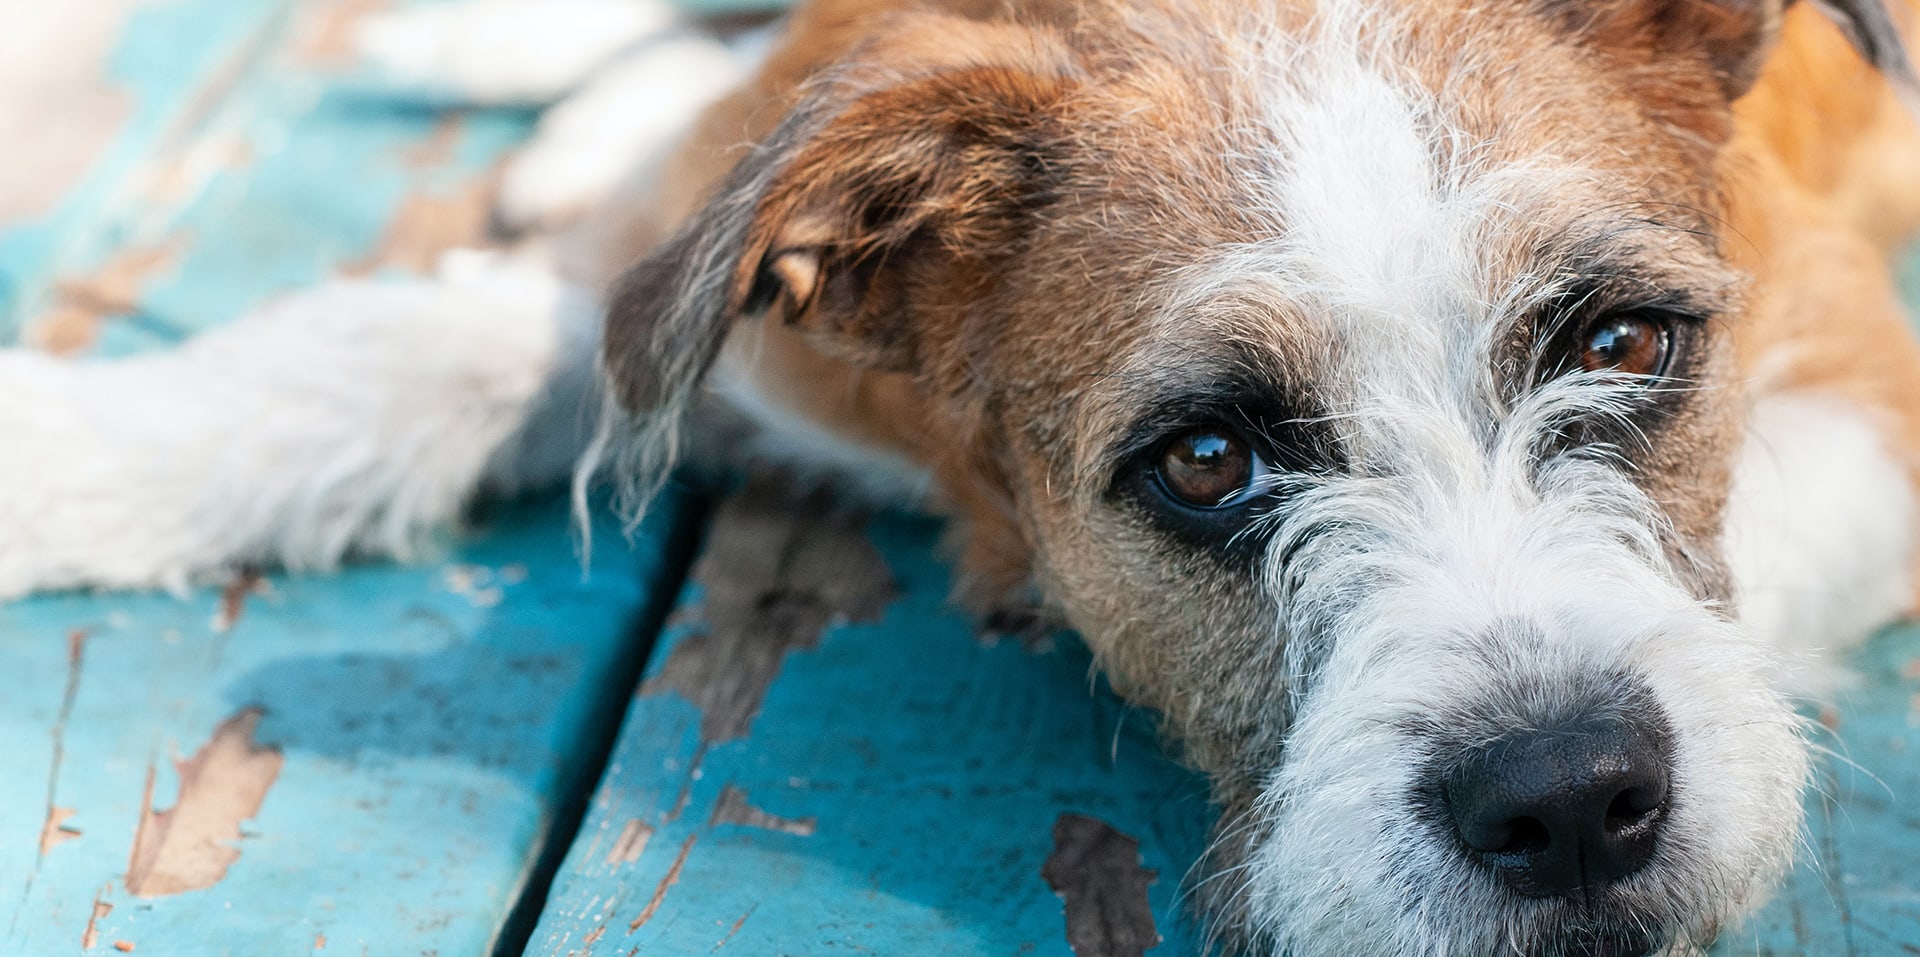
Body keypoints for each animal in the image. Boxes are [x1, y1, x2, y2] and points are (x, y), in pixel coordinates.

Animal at [3, 0, 1920, 953]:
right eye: (1207, 459)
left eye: (1621, 343)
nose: (1569, 804)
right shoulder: (726, 319)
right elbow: (395, 355)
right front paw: (77, 455)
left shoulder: (1858, 379)